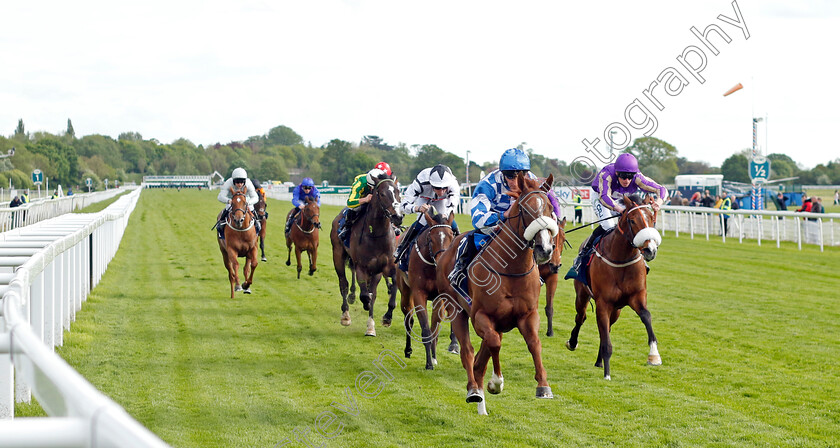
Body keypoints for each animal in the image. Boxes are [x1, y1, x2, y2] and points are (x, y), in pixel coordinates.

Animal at [328, 174, 404, 336]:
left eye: (398, 192)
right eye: (382, 194)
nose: (398, 217)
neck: (376, 235)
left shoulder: (384, 268)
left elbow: (387, 293)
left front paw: (384, 319)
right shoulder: (361, 267)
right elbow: (365, 295)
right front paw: (366, 309)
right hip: (337, 255)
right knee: (343, 284)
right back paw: (346, 315)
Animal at [396, 210, 460, 372]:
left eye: (451, 236)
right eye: (431, 239)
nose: (443, 261)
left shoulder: (440, 297)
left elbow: (434, 329)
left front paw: (434, 357)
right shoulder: (419, 294)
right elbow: (425, 329)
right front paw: (429, 363)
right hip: (405, 293)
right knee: (409, 320)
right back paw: (408, 350)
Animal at [436, 173, 560, 414]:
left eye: (550, 208)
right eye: (525, 209)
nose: (545, 249)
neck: (511, 269)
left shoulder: (527, 315)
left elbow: (534, 343)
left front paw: (543, 386)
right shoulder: (481, 316)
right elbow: (493, 344)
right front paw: (496, 382)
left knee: (480, 358)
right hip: (457, 310)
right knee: (468, 352)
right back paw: (474, 391)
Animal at [564, 194, 664, 380]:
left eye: (652, 218)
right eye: (632, 220)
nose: (650, 249)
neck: (621, 260)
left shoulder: (637, 296)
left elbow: (646, 316)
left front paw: (654, 355)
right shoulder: (603, 303)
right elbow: (604, 337)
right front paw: (607, 374)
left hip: (617, 310)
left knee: (606, 329)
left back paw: (599, 361)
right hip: (582, 295)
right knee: (581, 317)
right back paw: (573, 343)